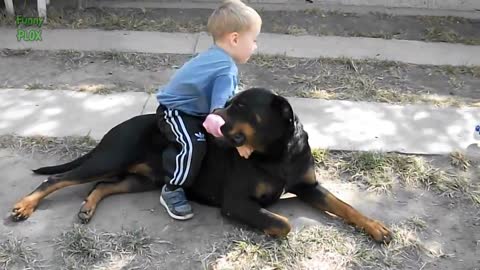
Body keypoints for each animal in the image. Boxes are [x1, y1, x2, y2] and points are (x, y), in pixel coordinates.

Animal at [9, 88, 392, 243]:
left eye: (240, 107)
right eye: (229, 102)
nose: (213, 116)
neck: (276, 153)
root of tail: (115, 128)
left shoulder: (309, 186)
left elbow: (346, 206)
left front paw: (377, 228)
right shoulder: (237, 202)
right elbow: (283, 222)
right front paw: (268, 229)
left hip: (143, 179)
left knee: (101, 186)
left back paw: (87, 209)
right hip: (110, 159)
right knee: (57, 180)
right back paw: (24, 206)